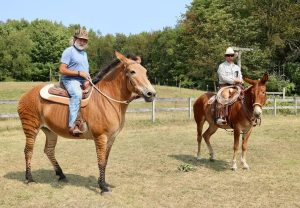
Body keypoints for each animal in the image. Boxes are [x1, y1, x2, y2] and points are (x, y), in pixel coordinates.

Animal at [17, 51, 156, 193]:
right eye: (132, 71)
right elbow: (101, 161)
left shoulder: (111, 138)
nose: (151, 93)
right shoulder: (101, 137)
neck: (106, 99)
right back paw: (29, 178)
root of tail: (25, 95)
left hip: (50, 131)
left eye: (145, 71)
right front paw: (103, 187)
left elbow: (105, 160)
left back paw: (61, 174)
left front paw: (102, 182)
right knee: (28, 151)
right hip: (31, 128)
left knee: (49, 150)